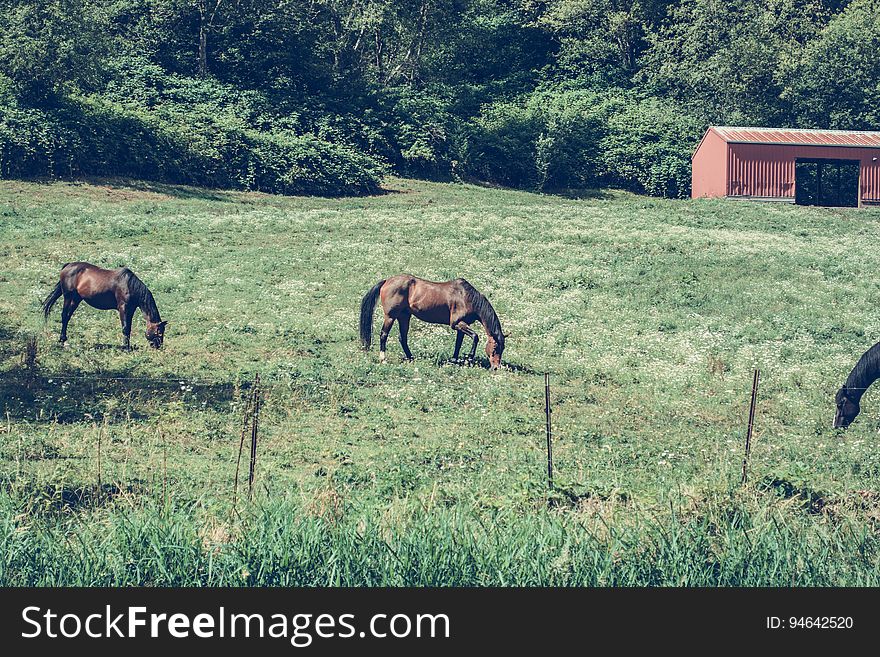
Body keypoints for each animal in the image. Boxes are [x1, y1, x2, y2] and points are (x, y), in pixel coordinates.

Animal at [360, 272, 506, 368]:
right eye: (495, 348)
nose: (496, 368)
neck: (466, 297)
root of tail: (386, 281)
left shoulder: (461, 326)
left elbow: (458, 344)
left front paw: (454, 360)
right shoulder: (457, 324)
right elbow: (475, 336)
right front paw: (469, 358)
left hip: (404, 316)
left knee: (403, 338)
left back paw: (411, 358)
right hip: (390, 316)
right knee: (384, 335)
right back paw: (383, 359)